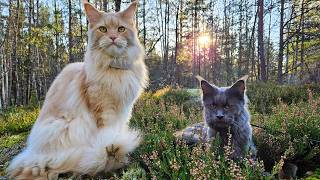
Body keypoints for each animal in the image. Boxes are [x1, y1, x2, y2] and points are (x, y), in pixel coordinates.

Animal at [7, 1, 148, 179]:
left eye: (121, 29)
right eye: (103, 29)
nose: (113, 37)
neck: (114, 69)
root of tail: (33, 153)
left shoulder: (125, 110)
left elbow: (119, 131)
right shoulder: (104, 110)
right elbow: (108, 136)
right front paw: (113, 153)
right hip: (68, 126)